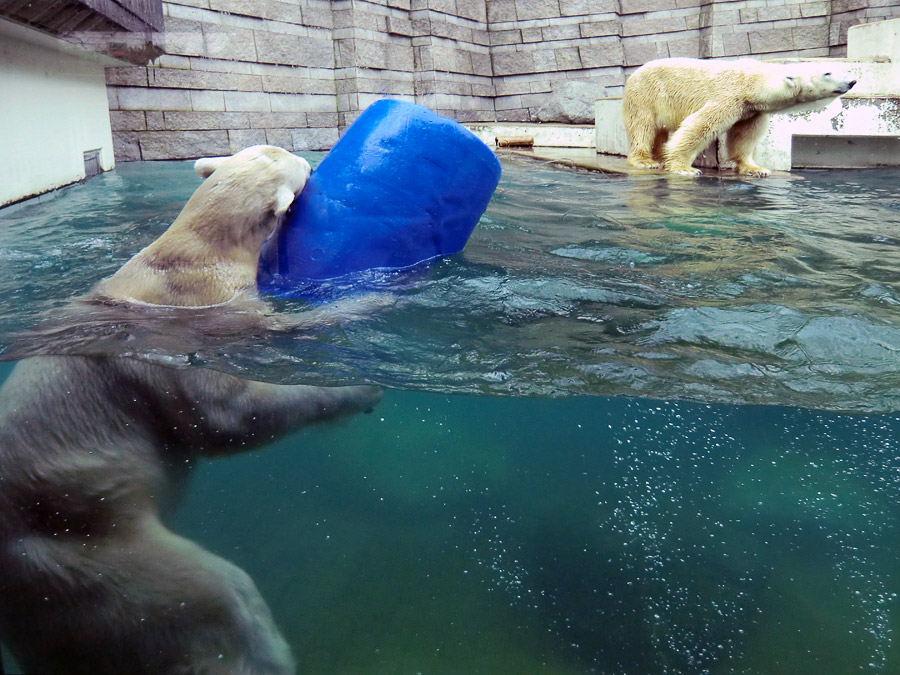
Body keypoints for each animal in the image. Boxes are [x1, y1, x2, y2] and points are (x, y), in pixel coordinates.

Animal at [0, 145, 384, 672]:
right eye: (301, 166)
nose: (311, 159)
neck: (193, 253)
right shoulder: (191, 328)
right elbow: (227, 415)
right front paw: (363, 353)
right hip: (71, 547)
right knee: (211, 597)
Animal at [624, 57, 856, 177]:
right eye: (827, 73)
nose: (852, 81)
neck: (753, 82)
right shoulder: (728, 96)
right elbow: (700, 125)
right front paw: (684, 168)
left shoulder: (751, 111)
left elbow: (745, 136)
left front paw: (756, 169)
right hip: (645, 94)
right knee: (642, 127)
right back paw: (645, 161)